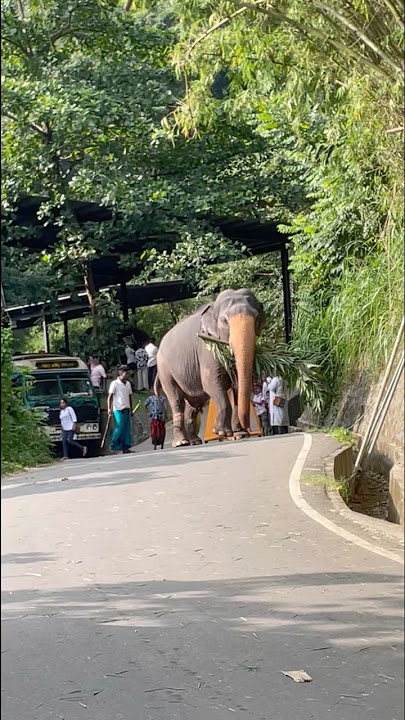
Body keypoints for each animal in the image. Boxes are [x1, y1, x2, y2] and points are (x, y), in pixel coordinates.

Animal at [156, 289, 265, 447]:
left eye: (256, 318)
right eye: (225, 321)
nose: (249, 430)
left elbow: (237, 385)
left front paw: (239, 434)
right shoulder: (206, 347)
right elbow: (211, 383)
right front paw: (222, 432)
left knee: (193, 405)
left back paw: (195, 441)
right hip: (165, 370)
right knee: (177, 401)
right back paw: (181, 443)